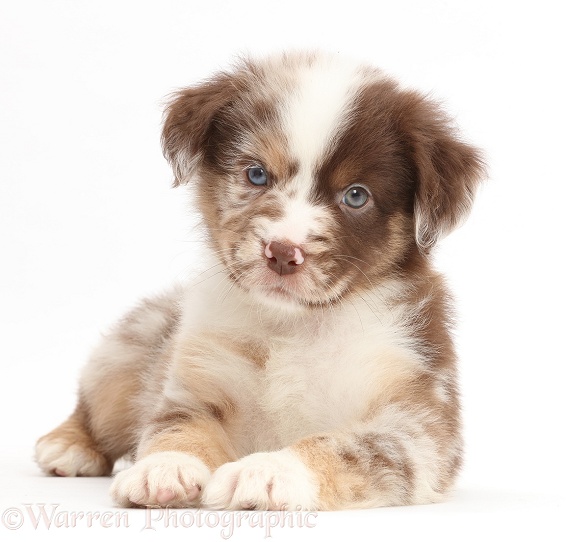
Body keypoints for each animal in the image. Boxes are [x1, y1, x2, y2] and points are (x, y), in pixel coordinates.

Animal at [36, 50, 488, 510]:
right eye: (256, 174)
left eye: (356, 195)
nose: (283, 252)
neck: (295, 326)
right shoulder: (197, 378)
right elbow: (175, 424)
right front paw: (166, 466)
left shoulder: (417, 421)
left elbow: (348, 447)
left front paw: (269, 470)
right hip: (130, 349)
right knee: (97, 402)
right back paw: (70, 444)